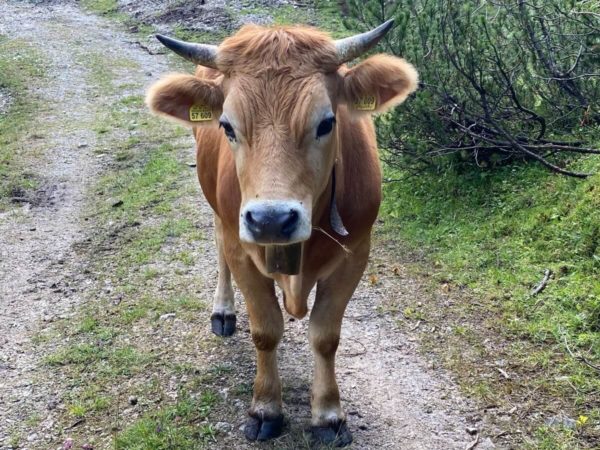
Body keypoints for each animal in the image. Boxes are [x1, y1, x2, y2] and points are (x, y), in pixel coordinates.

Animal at [145, 20, 418, 446]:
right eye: (227, 125)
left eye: (327, 122)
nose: (271, 220)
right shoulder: (242, 248)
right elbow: (266, 330)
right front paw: (265, 408)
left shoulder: (356, 254)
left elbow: (325, 335)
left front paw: (328, 415)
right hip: (222, 214)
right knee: (218, 245)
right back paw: (223, 310)